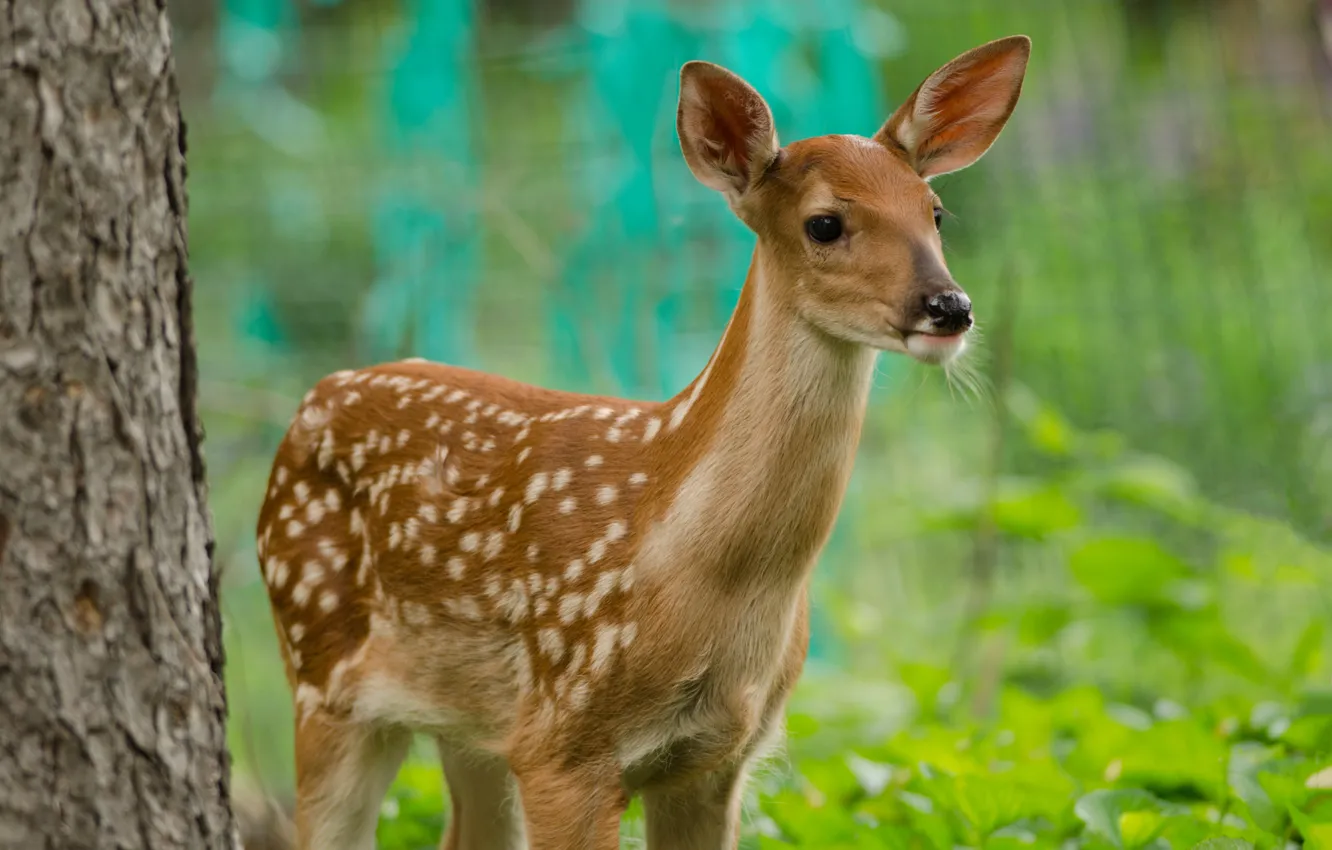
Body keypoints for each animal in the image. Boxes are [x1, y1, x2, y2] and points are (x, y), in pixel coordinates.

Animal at [254, 35, 1031, 850]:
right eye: (824, 223)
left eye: (935, 212)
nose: (949, 306)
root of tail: (311, 399)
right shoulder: (564, 745)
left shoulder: (717, 758)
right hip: (320, 669)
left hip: (471, 727)